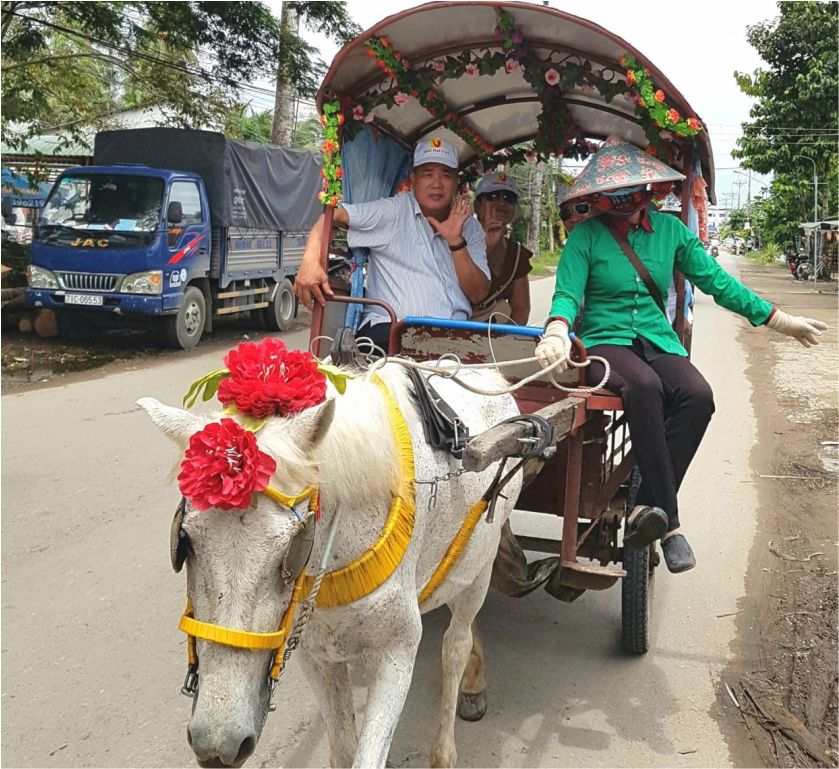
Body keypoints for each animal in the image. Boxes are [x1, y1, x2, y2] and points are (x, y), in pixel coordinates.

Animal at [138, 362, 520, 768]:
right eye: (186, 542)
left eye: (291, 548)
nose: (219, 745)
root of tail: (484, 373)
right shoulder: (315, 654)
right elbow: (343, 750)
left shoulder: (397, 650)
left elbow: (367, 756)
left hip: (481, 567)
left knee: (456, 643)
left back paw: (449, 739)